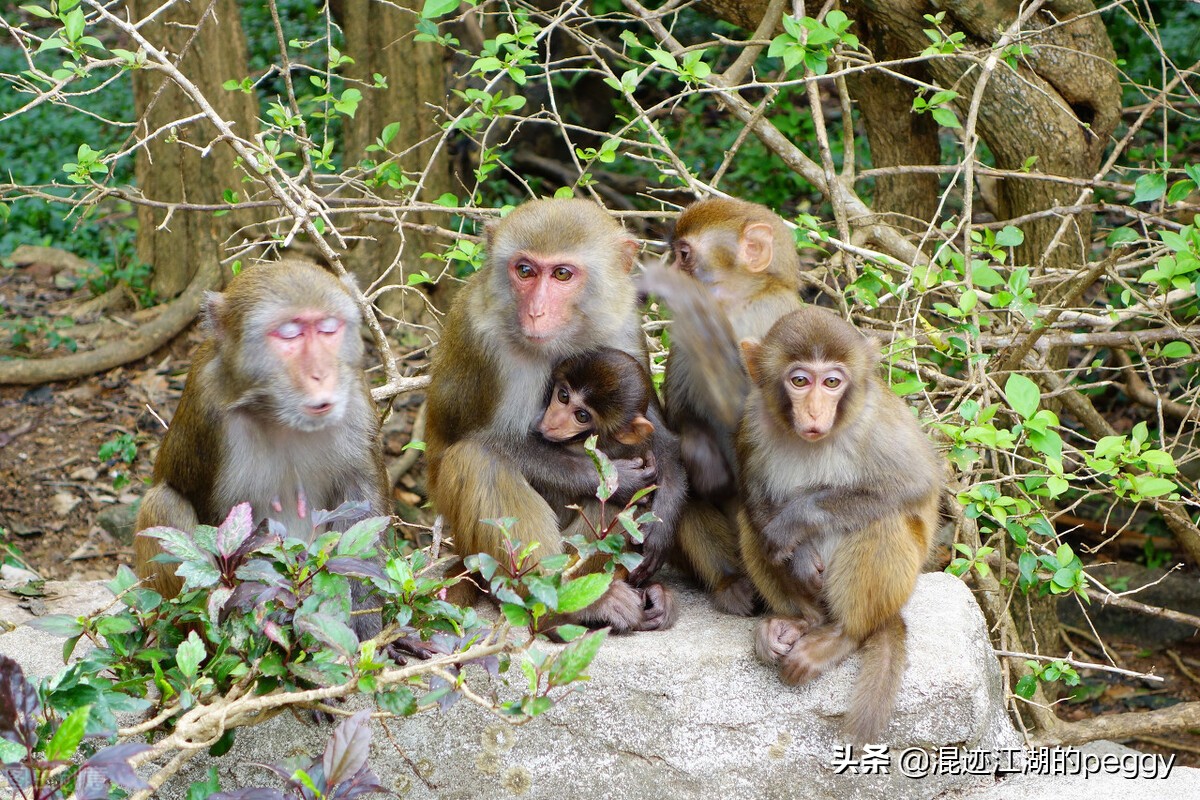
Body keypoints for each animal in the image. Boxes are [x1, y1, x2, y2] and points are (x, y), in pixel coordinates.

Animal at [136, 260, 388, 642]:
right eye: (289, 335)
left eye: (328, 329)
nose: (321, 373)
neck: (278, 414)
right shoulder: (208, 408)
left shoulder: (357, 398)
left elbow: (360, 507)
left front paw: (369, 623)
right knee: (162, 503)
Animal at [427, 201, 686, 638]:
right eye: (525, 270)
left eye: (562, 274)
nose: (536, 311)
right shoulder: (486, 341)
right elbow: (491, 441)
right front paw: (618, 479)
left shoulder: (622, 321)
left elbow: (655, 431)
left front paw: (665, 515)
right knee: (479, 459)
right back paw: (562, 610)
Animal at [643, 196, 801, 618]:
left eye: (683, 255)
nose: (671, 275)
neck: (740, 304)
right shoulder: (681, 347)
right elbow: (678, 425)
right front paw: (699, 452)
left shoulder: (776, 317)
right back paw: (731, 584)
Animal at [734, 307, 940, 743]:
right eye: (800, 381)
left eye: (832, 382)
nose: (814, 412)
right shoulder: (751, 419)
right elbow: (754, 498)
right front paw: (797, 558)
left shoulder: (876, 421)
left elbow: (915, 482)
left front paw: (795, 521)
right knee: (750, 520)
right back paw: (801, 621)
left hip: (900, 583)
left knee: (880, 520)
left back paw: (842, 635)